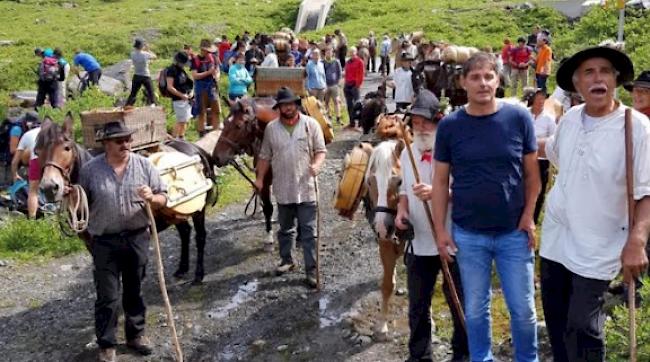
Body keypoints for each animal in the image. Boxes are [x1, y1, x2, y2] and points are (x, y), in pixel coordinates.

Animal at [38, 111, 215, 284]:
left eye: (66, 148)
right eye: (38, 151)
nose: (49, 187)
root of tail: (195, 148)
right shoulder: (92, 244)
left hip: (198, 210)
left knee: (200, 236)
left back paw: (198, 274)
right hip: (175, 214)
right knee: (185, 232)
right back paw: (182, 269)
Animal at [213, 96, 274, 247]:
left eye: (238, 126)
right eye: (224, 123)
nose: (216, 157)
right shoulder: (264, 180)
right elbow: (268, 207)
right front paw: (269, 235)